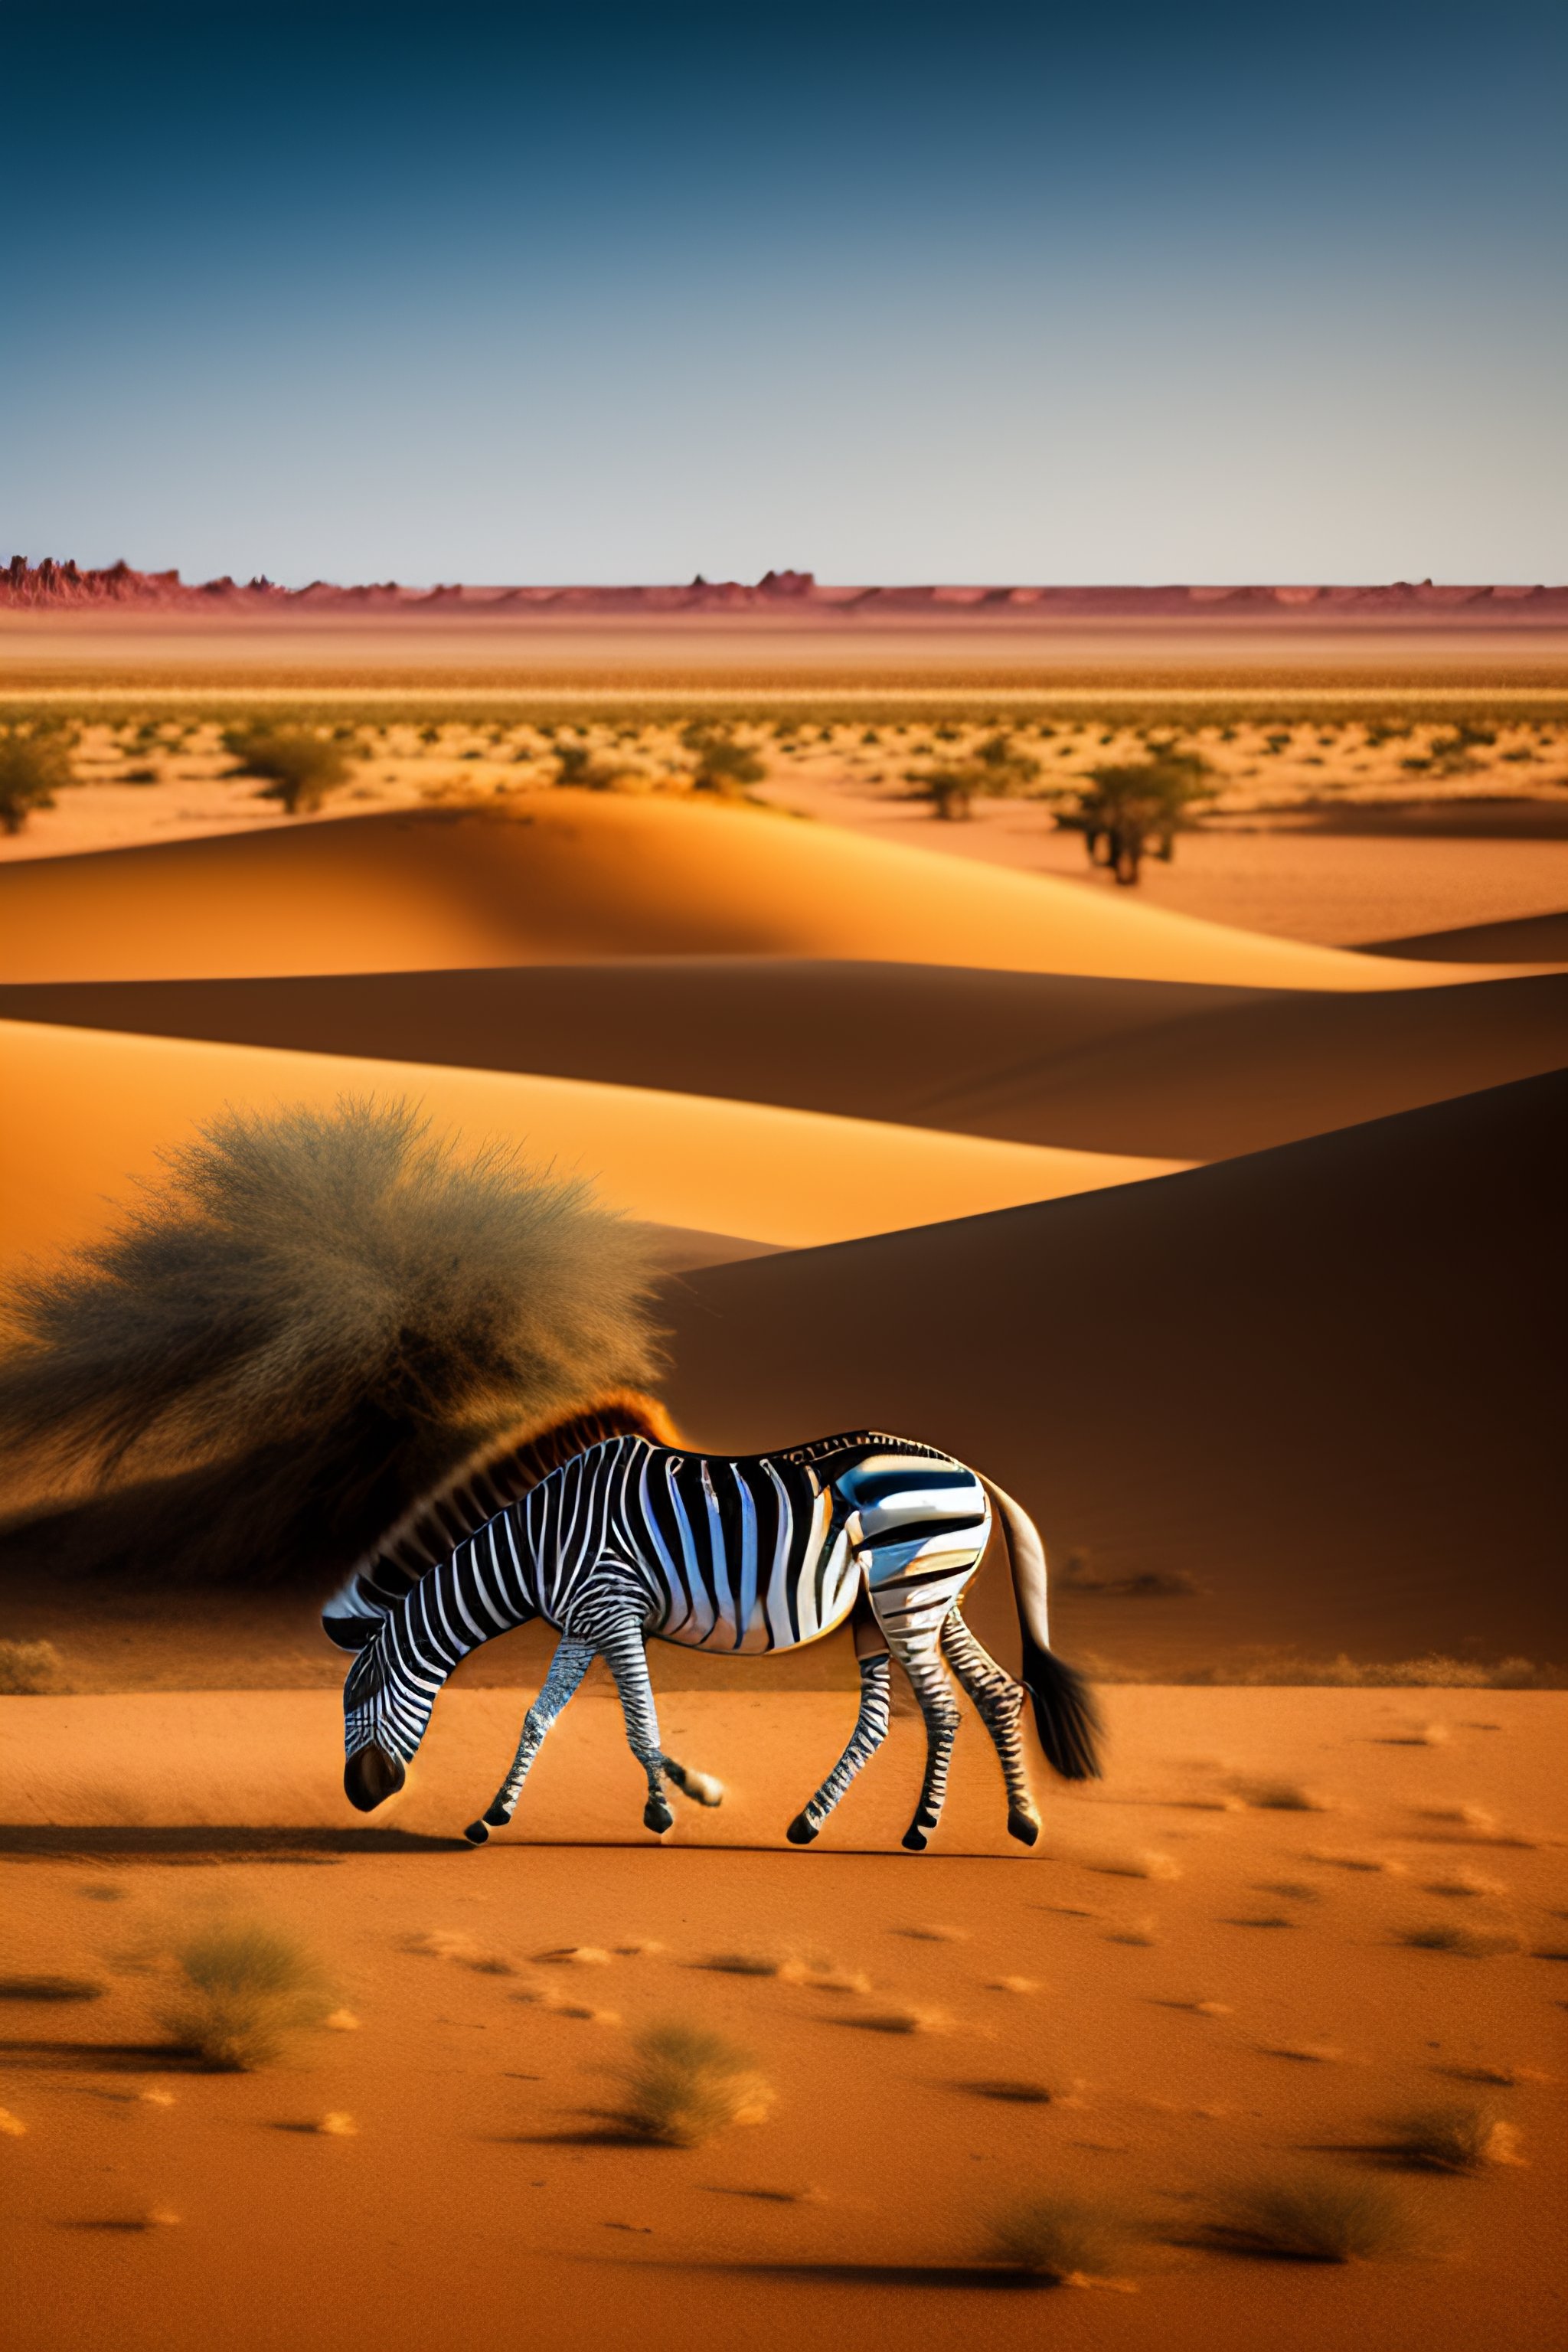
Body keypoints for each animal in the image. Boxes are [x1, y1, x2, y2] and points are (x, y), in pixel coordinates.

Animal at [323, 1427, 1101, 1852]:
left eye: (360, 1690)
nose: (358, 1796)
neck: (537, 1543)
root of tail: (969, 1472)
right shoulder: (582, 1622)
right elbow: (539, 1717)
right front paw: (492, 1816)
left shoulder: (613, 1607)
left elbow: (639, 1724)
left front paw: (679, 1800)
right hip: (915, 1599)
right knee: (980, 1695)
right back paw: (1008, 1821)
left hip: (907, 1596)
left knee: (941, 1708)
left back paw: (920, 1831)